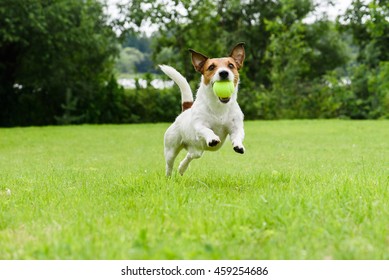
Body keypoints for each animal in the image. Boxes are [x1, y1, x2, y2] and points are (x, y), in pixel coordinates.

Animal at [158, 42, 244, 176]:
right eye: (211, 67)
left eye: (231, 65)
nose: (224, 73)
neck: (219, 106)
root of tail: (185, 110)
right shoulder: (199, 125)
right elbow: (206, 130)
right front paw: (213, 138)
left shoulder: (236, 126)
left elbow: (237, 134)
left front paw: (238, 146)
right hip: (171, 149)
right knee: (169, 166)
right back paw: (169, 176)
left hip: (197, 151)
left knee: (190, 156)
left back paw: (182, 168)